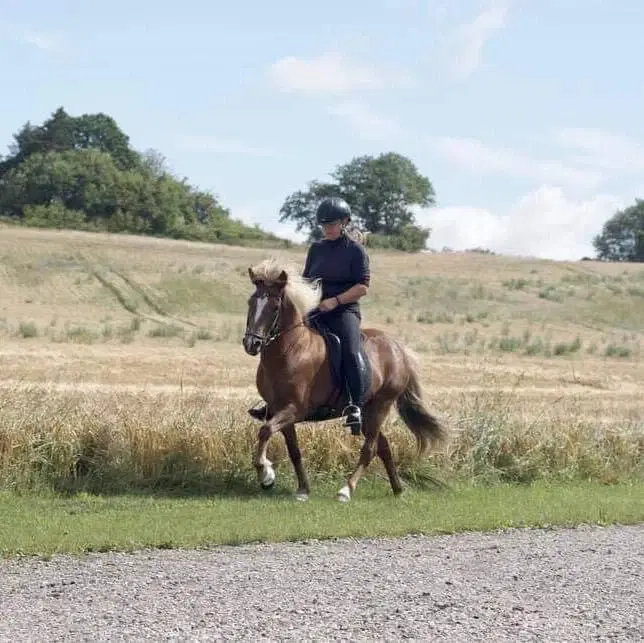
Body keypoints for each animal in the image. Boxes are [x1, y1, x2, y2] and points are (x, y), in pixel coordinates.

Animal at [242, 258, 448, 504]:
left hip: (381, 405)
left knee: (370, 449)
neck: (290, 350)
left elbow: (265, 431)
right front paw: (301, 489)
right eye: (250, 302)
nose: (251, 344)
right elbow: (293, 450)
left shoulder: (294, 409)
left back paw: (346, 490)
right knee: (383, 446)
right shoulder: (277, 410)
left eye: (274, 307)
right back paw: (398, 489)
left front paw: (265, 474)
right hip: (368, 410)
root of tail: (398, 348)